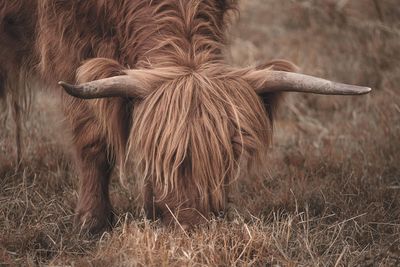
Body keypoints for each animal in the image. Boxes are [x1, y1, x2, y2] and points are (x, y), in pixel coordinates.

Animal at [0, 0, 370, 236]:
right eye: (161, 153)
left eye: (232, 151)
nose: (192, 225)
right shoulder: (68, 46)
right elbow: (94, 141)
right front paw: (93, 222)